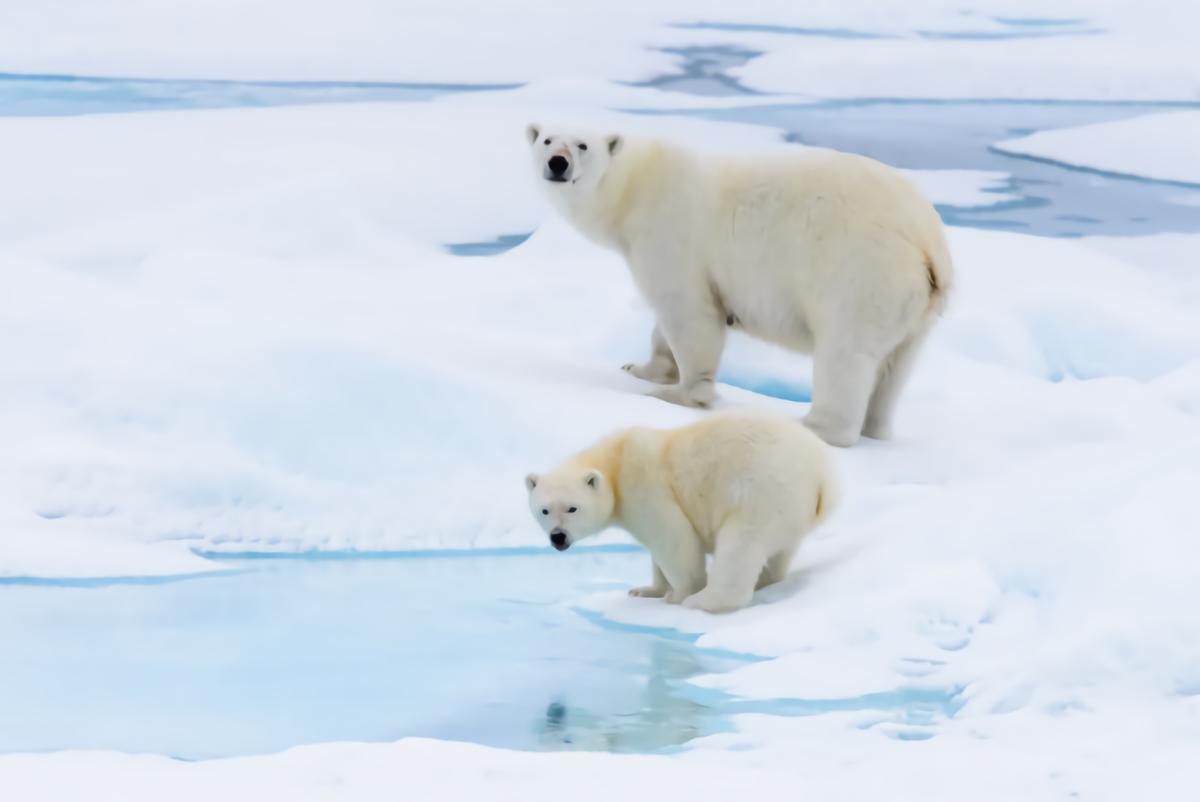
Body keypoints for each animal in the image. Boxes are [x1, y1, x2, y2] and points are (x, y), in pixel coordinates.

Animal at [525, 413, 835, 614]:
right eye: (544, 510)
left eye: (572, 508)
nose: (558, 537)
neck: (616, 460)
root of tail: (823, 477)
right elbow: (656, 553)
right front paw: (646, 590)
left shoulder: (646, 487)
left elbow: (673, 540)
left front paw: (678, 594)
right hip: (790, 511)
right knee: (779, 553)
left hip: (760, 492)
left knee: (741, 545)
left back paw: (703, 601)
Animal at [530, 128, 950, 449]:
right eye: (547, 138)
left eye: (582, 144)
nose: (557, 163)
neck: (640, 184)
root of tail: (928, 242)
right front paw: (640, 368)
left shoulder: (672, 234)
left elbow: (690, 313)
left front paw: (678, 394)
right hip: (916, 307)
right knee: (896, 367)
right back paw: (876, 427)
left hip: (862, 275)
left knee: (846, 356)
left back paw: (811, 425)